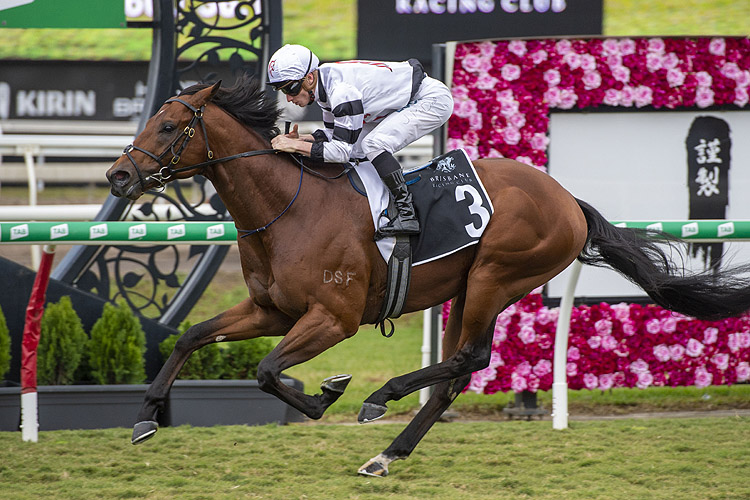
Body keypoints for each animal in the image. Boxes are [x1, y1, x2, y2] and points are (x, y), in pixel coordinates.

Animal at [106, 77, 750, 476]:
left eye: (169, 127)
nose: (117, 176)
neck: (287, 206)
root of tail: (568, 199)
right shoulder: (272, 310)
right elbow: (193, 336)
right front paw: (145, 418)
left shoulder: (333, 318)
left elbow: (267, 371)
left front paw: (327, 394)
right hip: (467, 290)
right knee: (455, 377)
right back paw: (387, 454)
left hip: (496, 275)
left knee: (469, 358)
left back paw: (380, 398)